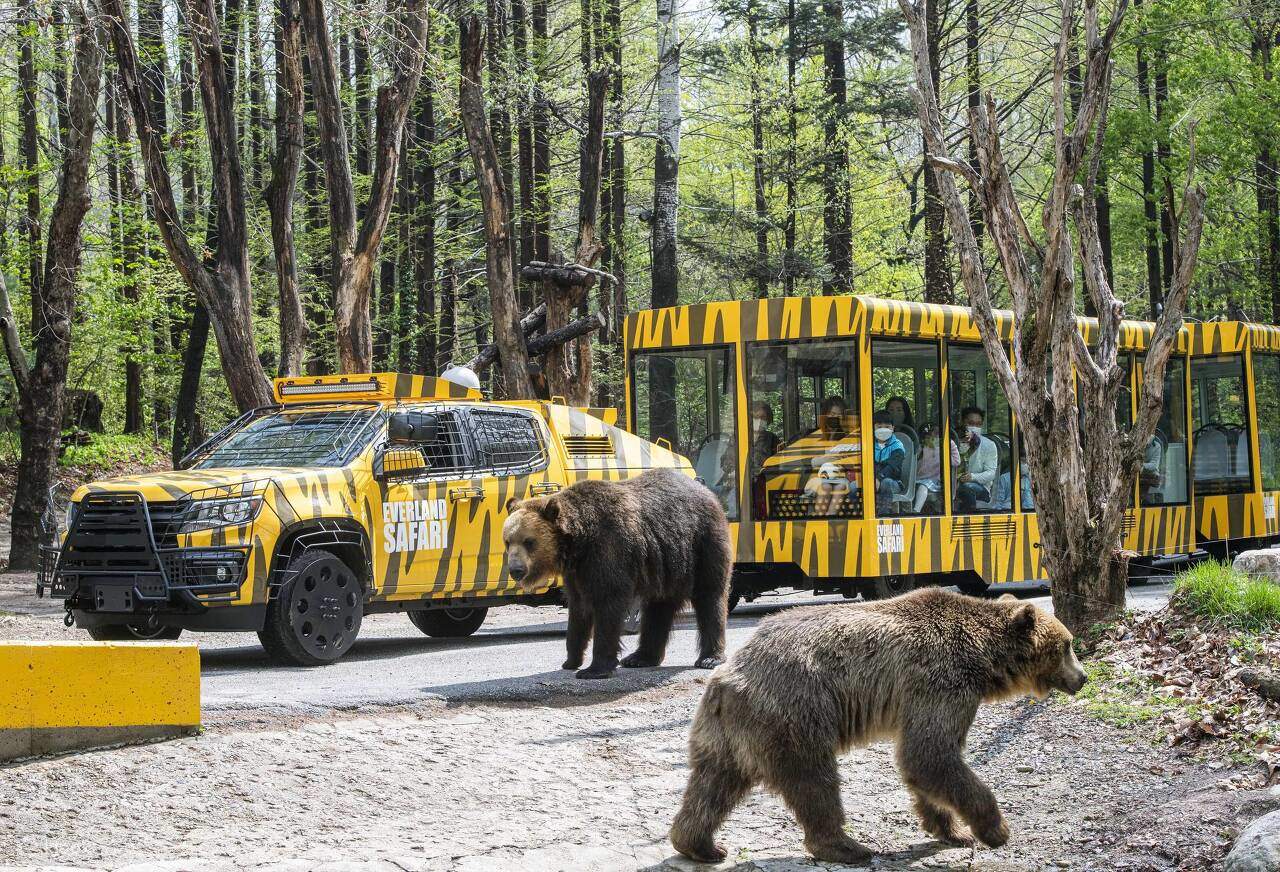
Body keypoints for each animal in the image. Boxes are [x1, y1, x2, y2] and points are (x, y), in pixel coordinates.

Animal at [502, 468, 732, 680]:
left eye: (528, 541)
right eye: (507, 541)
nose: (515, 570)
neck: (578, 543)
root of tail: (705, 489)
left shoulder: (610, 549)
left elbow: (607, 605)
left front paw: (594, 669)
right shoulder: (578, 572)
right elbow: (578, 609)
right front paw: (570, 661)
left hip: (702, 542)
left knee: (710, 595)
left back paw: (709, 658)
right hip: (667, 563)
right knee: (658, 607)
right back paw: (640, 657)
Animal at [668, 588, 1087, 863]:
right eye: (1067, 645)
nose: (1082, 678)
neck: (984, 661)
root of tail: (728, 676)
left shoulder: (926, 697)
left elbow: (923, 763)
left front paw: (950, 829)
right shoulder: (942, 681)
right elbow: (931, 754)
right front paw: (993, 830)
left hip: (725, 732)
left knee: (713, 783)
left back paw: (699, 844)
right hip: (793, 712)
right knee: (813, 780)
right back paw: (846, 846)